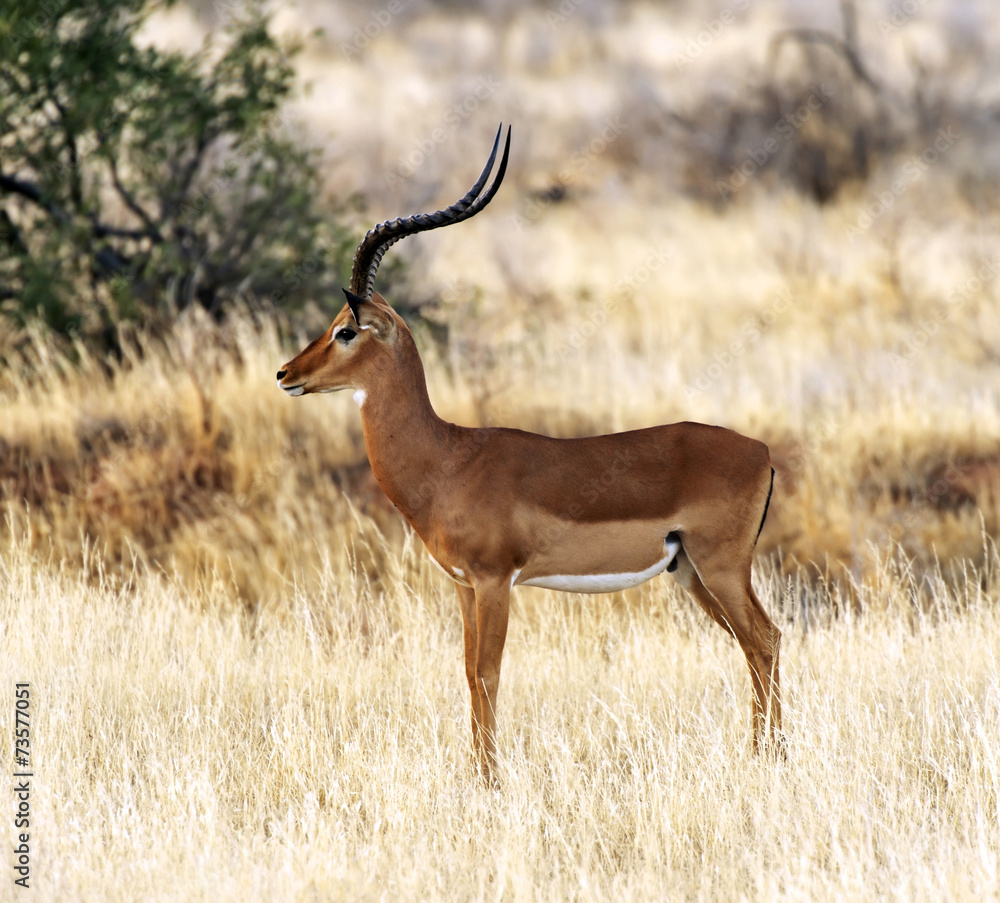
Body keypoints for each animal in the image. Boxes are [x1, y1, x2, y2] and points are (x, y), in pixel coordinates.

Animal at [277, 126, 782, 780]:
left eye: (346, 330)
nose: (285, 373)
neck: (447, 459)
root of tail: (762, 451)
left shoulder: (496, 581)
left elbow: (489, 675)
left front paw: (491, 781)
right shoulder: (464, 586)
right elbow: (467, 675)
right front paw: (475, 774)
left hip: (720, 568)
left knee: (765, 641)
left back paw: (771, 759)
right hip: (693, 573)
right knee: (757, 644)